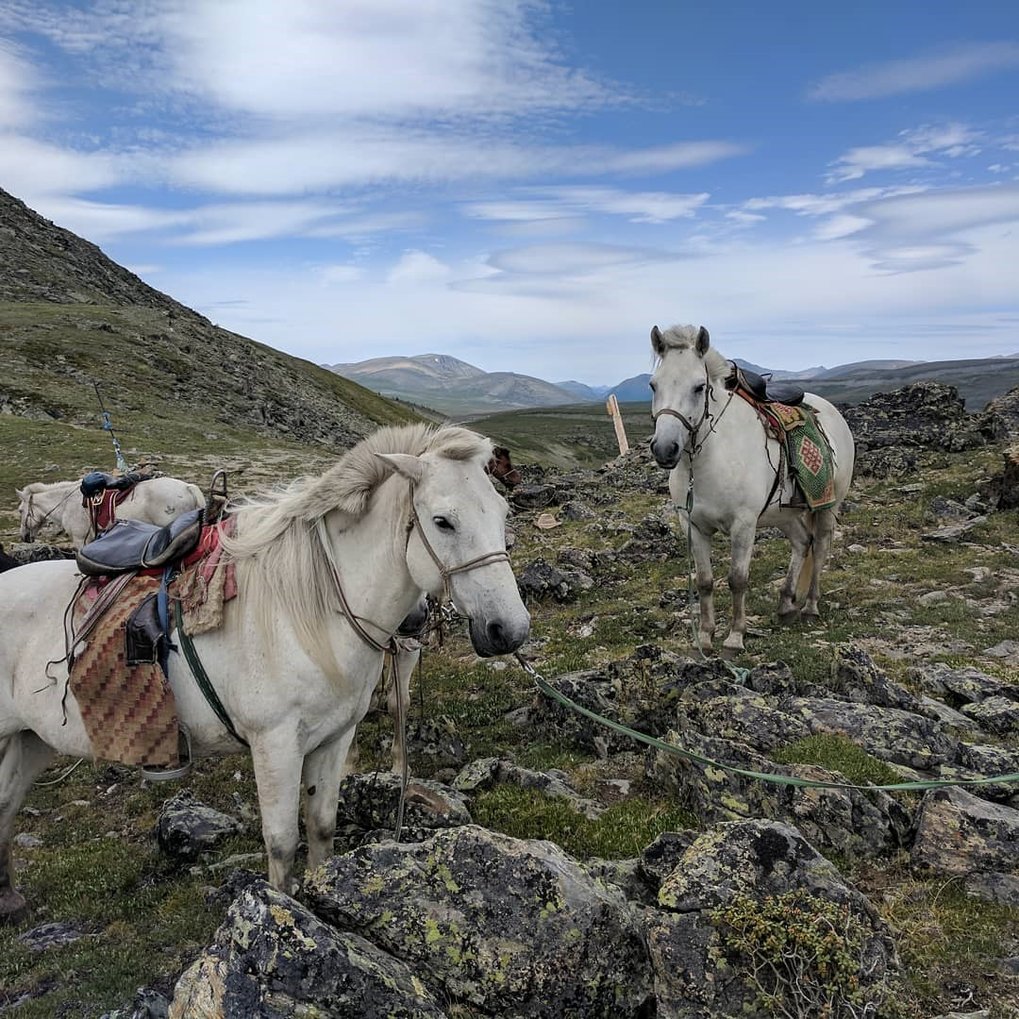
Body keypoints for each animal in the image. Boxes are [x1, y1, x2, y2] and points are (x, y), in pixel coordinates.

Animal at [0, 417, 525, 913]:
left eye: (502, 513)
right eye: (442, 521)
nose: (510, 630)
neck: (306, 612)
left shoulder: (334, 739)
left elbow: (321, 825)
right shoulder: (275, 746)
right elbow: (282, 842)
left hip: (30, 741)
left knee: (5, 806)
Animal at [648, 326, 855, 660]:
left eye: (699, 387)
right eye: (653, 385)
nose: (665, 449)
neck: (711, 461)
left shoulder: (743, 525)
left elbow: (737, 580)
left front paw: (734, 638)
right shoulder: (693, 526)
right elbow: (704, 581)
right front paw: (705, 637)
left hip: (827, 506)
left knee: (821, 546)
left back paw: (810, 607)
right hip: (785, 513)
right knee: (802, 543)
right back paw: (785, 604)